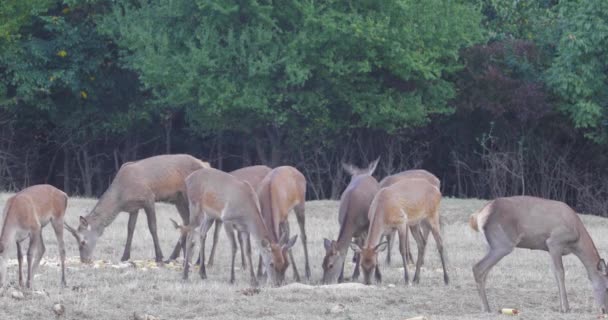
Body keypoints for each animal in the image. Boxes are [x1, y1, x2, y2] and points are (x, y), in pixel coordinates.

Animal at [62, 154, 208, 262]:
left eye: (83, 242)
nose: (84, 260)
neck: (121, 198)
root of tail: (206, 164)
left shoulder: (149, 198)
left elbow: (152, 227)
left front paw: (159, 256)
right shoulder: (134, 208)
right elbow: (130, 229)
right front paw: (125, 257)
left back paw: (197, 260)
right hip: (179, 199)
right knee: (187, 222)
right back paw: (176, 256)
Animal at [470, 195, 608, 312]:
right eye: (607, 287)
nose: (604, 310)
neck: (577, 239)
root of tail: (478, 216)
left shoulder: (549, 249)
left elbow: (554, 273)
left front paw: (560, 307)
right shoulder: (554, 242)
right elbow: (560, 272)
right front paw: (566, 308)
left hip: (490, 245)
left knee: (485, 271)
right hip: (503, 243)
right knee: (478, 267)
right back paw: (486, 308)